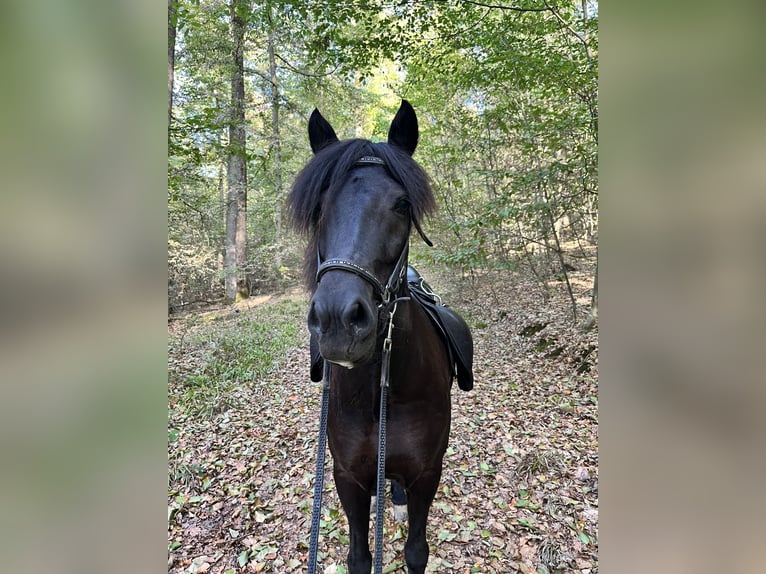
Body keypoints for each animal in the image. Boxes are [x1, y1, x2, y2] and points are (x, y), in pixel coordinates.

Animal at [288, 100, 471, 574]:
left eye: (402, 205)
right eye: (319, 207)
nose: (337, 320)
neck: (377, 392)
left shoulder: (427, 473)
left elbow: (416, 552)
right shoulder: (346, 477)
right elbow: (358, 555)